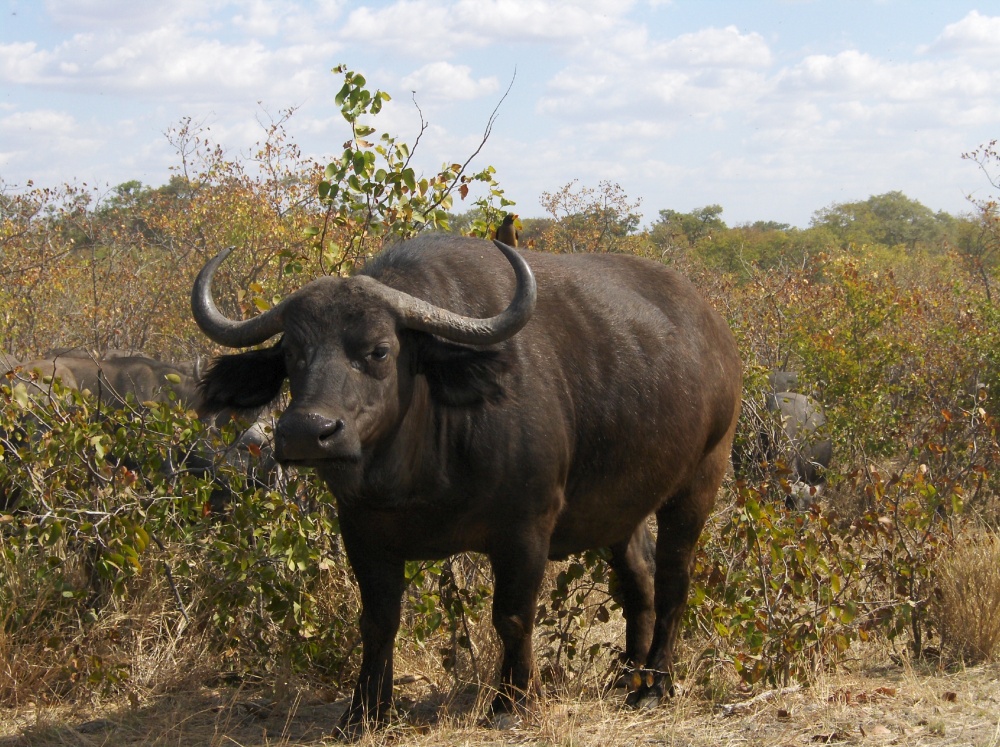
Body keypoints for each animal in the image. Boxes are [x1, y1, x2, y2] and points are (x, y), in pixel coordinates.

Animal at [193, 235, 744, 736]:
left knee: (673, 577)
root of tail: (716, 332)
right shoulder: (362, 533)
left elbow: (513, 616)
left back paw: (655, 684)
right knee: (639, 577)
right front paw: (364, 712)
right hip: (620, 509)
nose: (308, 431)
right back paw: (629, 674)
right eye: (291, 353)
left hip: (699, 482)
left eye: (379, 350)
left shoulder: (526, 529)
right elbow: (377, 622)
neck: (417, 465)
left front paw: (511, 703)